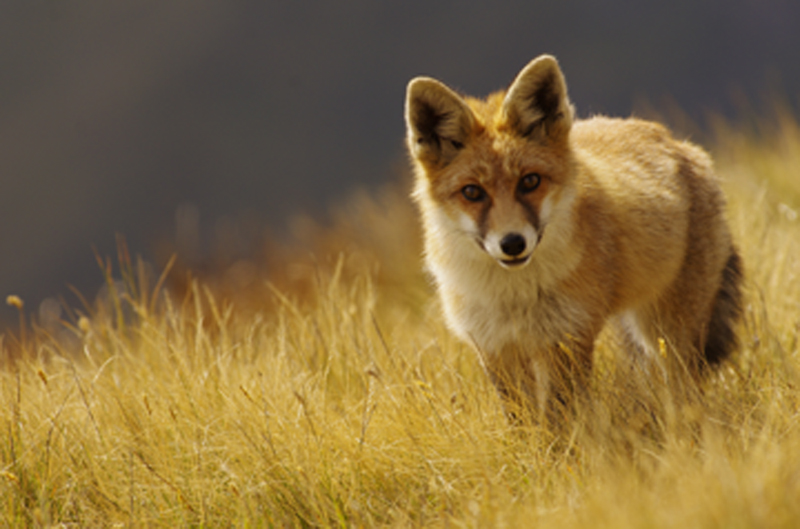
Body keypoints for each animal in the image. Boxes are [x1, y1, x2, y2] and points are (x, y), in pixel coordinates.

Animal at [405, 55, 743, 425]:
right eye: (472, 192)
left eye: (530, 181)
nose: (512, 243)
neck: (513, 296)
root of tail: (675, 140)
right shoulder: (497, 348)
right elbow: (523, 423)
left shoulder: (565, 339)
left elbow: (559, 421)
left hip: (669, 332)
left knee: (682, 387)